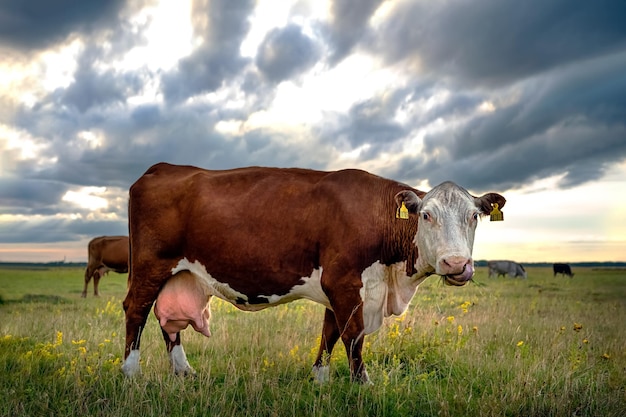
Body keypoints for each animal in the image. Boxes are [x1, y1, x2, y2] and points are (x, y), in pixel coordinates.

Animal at [119, 161, 504, 382]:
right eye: (426, 215)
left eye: (474, 216)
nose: (457, 264)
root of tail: (161, 167)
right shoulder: (345, 282)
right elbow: (353, 337)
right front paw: (362, 386)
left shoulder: (339, 287)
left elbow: (329, 333)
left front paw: (320, 380)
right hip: (151, 265)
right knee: (137, 310)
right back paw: (130, 373)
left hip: (178, 274)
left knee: (168, 320)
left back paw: (183, 371)